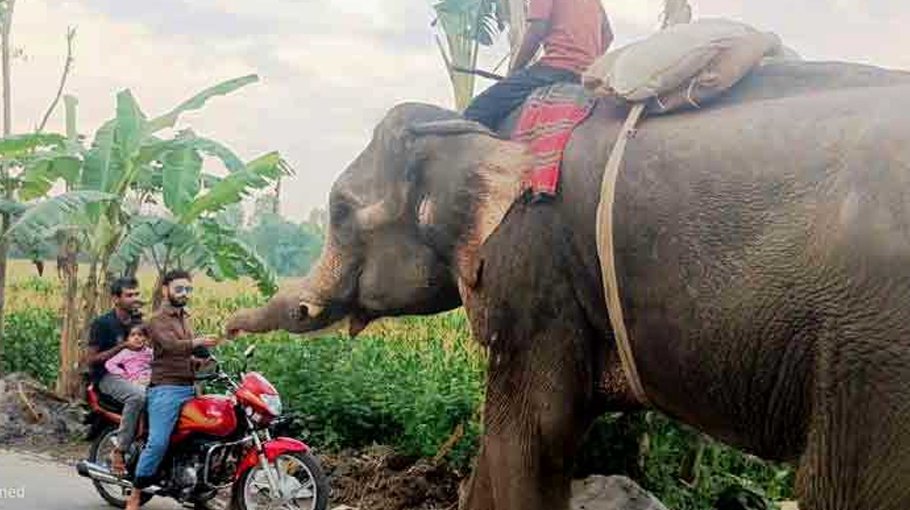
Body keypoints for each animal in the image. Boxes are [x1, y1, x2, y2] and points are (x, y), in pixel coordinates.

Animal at [227, 61, 910, 510]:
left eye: (341, 211)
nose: (224, 330)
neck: (471, 127)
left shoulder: (530, 259)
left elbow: (533, 432)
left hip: (871, 358)